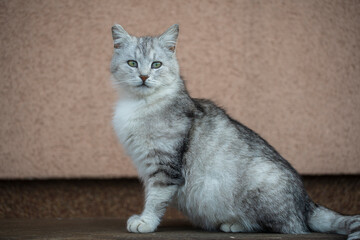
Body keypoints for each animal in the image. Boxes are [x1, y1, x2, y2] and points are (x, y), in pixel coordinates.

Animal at [110, 23, 360, 239]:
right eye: (132, 63)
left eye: (156, 65)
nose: (144, 76)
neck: (139, 104)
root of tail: (308, 203)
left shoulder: (164, 166)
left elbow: (155, 198)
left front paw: (145, 221)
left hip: (261, 183)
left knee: (284, 226)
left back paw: (234, 224)